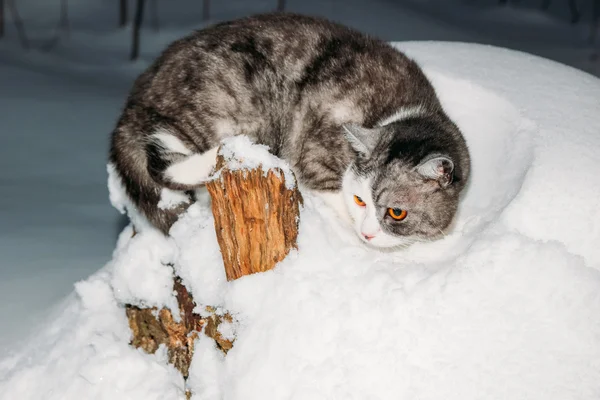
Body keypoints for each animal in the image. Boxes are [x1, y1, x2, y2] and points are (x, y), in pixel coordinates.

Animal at [110, 12, 472, 248]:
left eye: (397, 213)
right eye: (359, 200)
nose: (368, 233)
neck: (402, 111)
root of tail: (134, 100)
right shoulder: (317, 160)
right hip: (224, 109)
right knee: (163, 164)